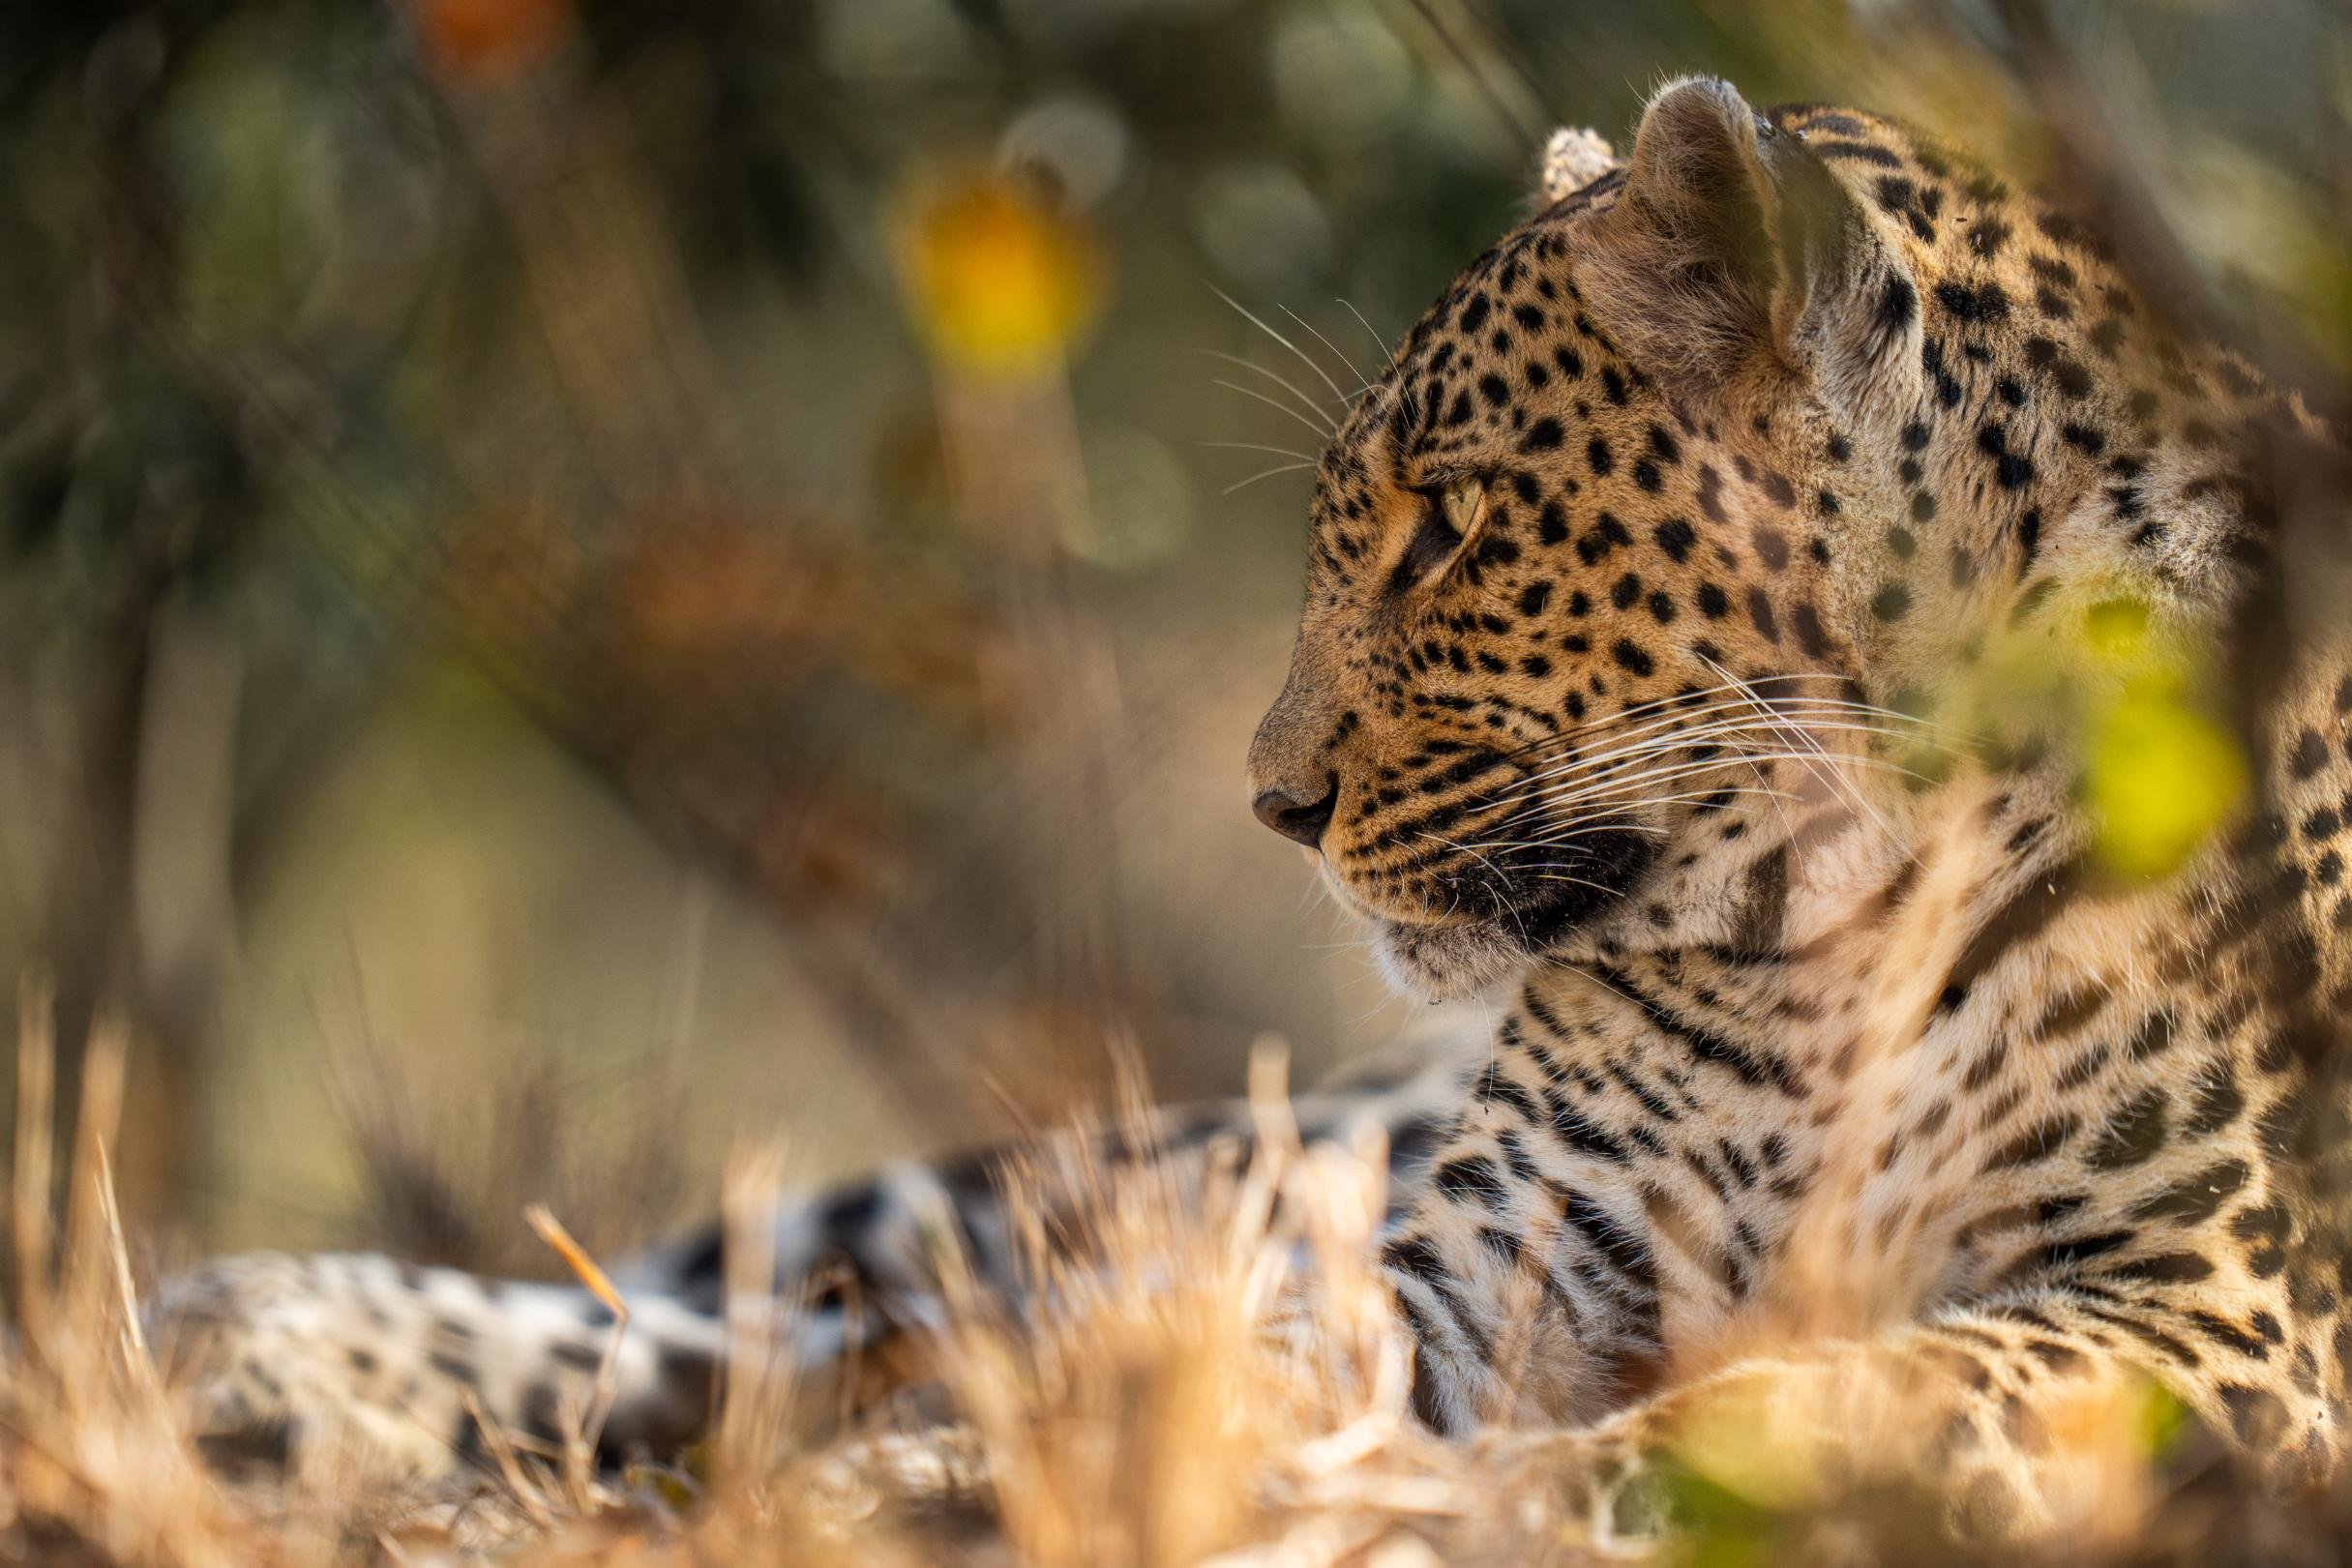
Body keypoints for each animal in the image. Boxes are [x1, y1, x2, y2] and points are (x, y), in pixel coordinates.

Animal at [159, 76, 2352, 1550]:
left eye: (1449, 523)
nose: (1272, 804)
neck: (1827, 917)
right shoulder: (1484, 1256)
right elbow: (1228, 1365)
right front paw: (1041, 1478)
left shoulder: (2223, 1308)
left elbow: (1866, 1382)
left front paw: (1586, 1480)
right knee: (890, 1302)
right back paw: (284, 1345)